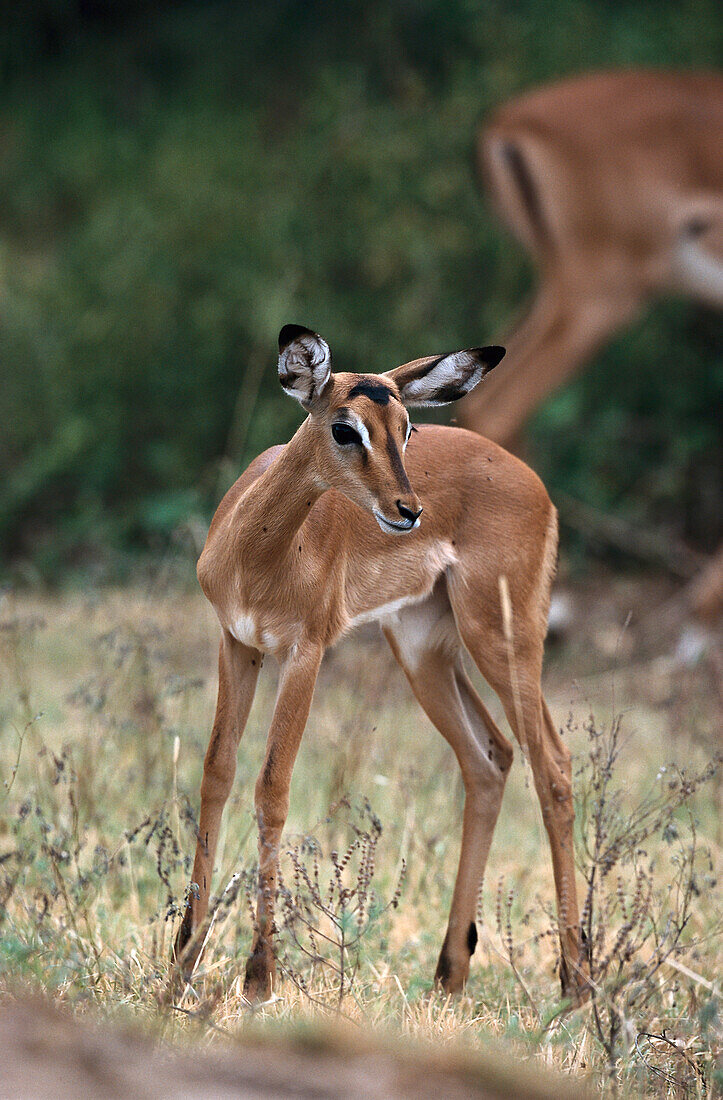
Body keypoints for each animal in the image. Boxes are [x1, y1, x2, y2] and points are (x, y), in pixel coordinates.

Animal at [173, 323, 585, 1007]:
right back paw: (449, 974)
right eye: (346, 428)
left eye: (407, 428)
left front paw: (259, 978)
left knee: (552, 765)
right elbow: (216, 773)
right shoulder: (237, 644)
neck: (259, 552)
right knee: (490, 758)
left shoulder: (305, 653)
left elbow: (273, 788)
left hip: (502, 638)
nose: (408, 509)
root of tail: (538, 488)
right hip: (423, 650)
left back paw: (575, 983)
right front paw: (180, 962)